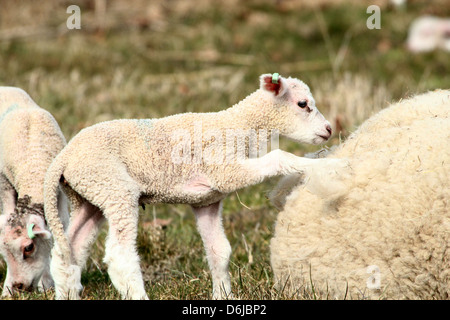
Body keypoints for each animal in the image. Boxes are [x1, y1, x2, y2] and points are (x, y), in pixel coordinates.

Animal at [43, 74, 348, 298]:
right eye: (302, 104)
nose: (329, 130)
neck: (238, 127)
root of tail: (64, 158)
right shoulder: (224, 170)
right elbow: (279, 157)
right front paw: (326, 167)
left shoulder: (207, 201)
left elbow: (219, 252)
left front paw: (223, 295)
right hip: (112, 186)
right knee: (119, 256)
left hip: (88, 195)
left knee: (68, 250)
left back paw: (67, 293)